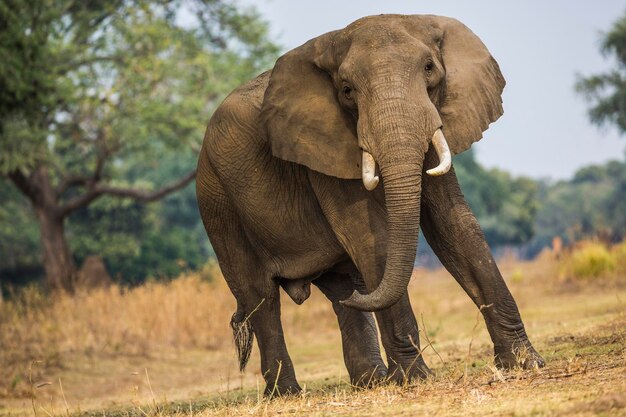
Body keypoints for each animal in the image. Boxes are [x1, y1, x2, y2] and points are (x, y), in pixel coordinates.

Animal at [195, 13, 540, 396]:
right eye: (347, 90)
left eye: (429, 68)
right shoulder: (323, 148)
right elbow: (371, 236)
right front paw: (414, 379)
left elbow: (455, 226)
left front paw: (524, 363)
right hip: (217, 201)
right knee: (261, 298)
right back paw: (287, 394)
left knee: (344, 288)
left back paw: (371, 380)